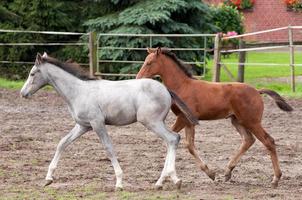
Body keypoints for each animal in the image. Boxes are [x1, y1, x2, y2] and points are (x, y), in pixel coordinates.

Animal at [19, 52, 198, 190]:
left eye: (33, 73)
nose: (23, 93)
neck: (78, 91)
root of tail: (166, 89)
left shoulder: (97, 123)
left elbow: (109, 148)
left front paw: (119, 182)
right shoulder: (83, 126)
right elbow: (62, 143)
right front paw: (48, 178)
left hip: (151, 122)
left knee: (173, 139)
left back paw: (171, 179)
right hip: (157, 123)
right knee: (171, 141)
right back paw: (163, 181)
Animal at [136, 47, 292, 188]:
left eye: (149, 63)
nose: (138, 78)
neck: (182, 86)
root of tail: (257, 91)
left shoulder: (182, 118)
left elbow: (174, 141)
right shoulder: (189, 121)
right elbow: (189, 145)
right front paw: (210, 173)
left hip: (252, 121)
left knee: (268, 141)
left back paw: (275, 179)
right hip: (237, 120)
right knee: (248, 140)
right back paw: (228, 172)